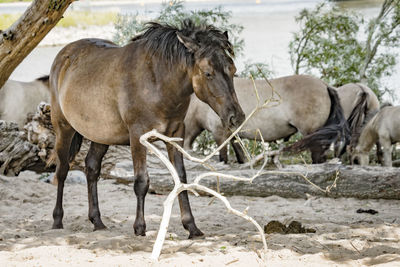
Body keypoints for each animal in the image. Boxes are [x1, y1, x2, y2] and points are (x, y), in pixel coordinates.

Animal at [49, 19, 244, 240]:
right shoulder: (138, 136)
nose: (236, 117)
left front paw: (191, 227)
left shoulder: (175, 135)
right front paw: (140, 227)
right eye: (208, 73)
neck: (158, 81)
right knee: (62, 170)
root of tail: (63, 55)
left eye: (233, 70)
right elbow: (141, 182)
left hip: (101, 135)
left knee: (92, 169)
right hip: (63, 128)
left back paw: (97, 221)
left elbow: (181, 179)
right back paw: (57, 220)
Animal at [184, 74, 350, 164]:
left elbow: (223, 158)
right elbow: (240, 156)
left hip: (312, 135)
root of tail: (325, 86)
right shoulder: (233, 135)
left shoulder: (219, 134)